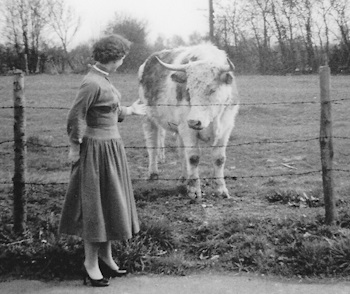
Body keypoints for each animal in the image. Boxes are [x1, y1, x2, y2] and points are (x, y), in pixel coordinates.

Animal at [138, 43, 239, 200]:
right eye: (188, 89)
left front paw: (221, 190)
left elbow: (219, 159)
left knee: (181, 153)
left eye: (212, 89)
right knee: (152, 146)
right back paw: (153, 173)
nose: (193, 121)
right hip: (149, 119)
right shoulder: (188, 130)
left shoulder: (225, 128)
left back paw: (184, 178)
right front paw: (194, 190)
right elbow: (193, 157)